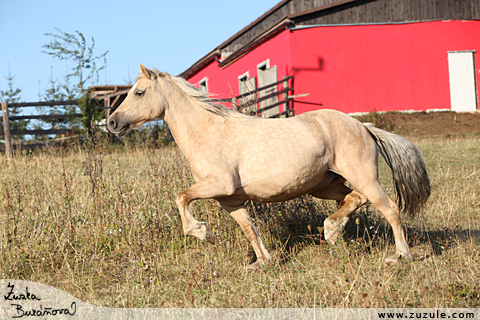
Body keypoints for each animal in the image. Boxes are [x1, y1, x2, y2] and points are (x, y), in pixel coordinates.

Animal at [109, 64, 432, 268]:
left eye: (139, 92)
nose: (112, 122)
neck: (206, 130)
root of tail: (364, 126)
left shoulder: (218, 184)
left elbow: (181, 197)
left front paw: (203, 233)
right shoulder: (229, 199)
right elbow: (249, 228)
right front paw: (263, 263)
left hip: (364, 177)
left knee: (390, 209)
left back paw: (399, 257)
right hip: (325, 184)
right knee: (354, 198)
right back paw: (332, 231)